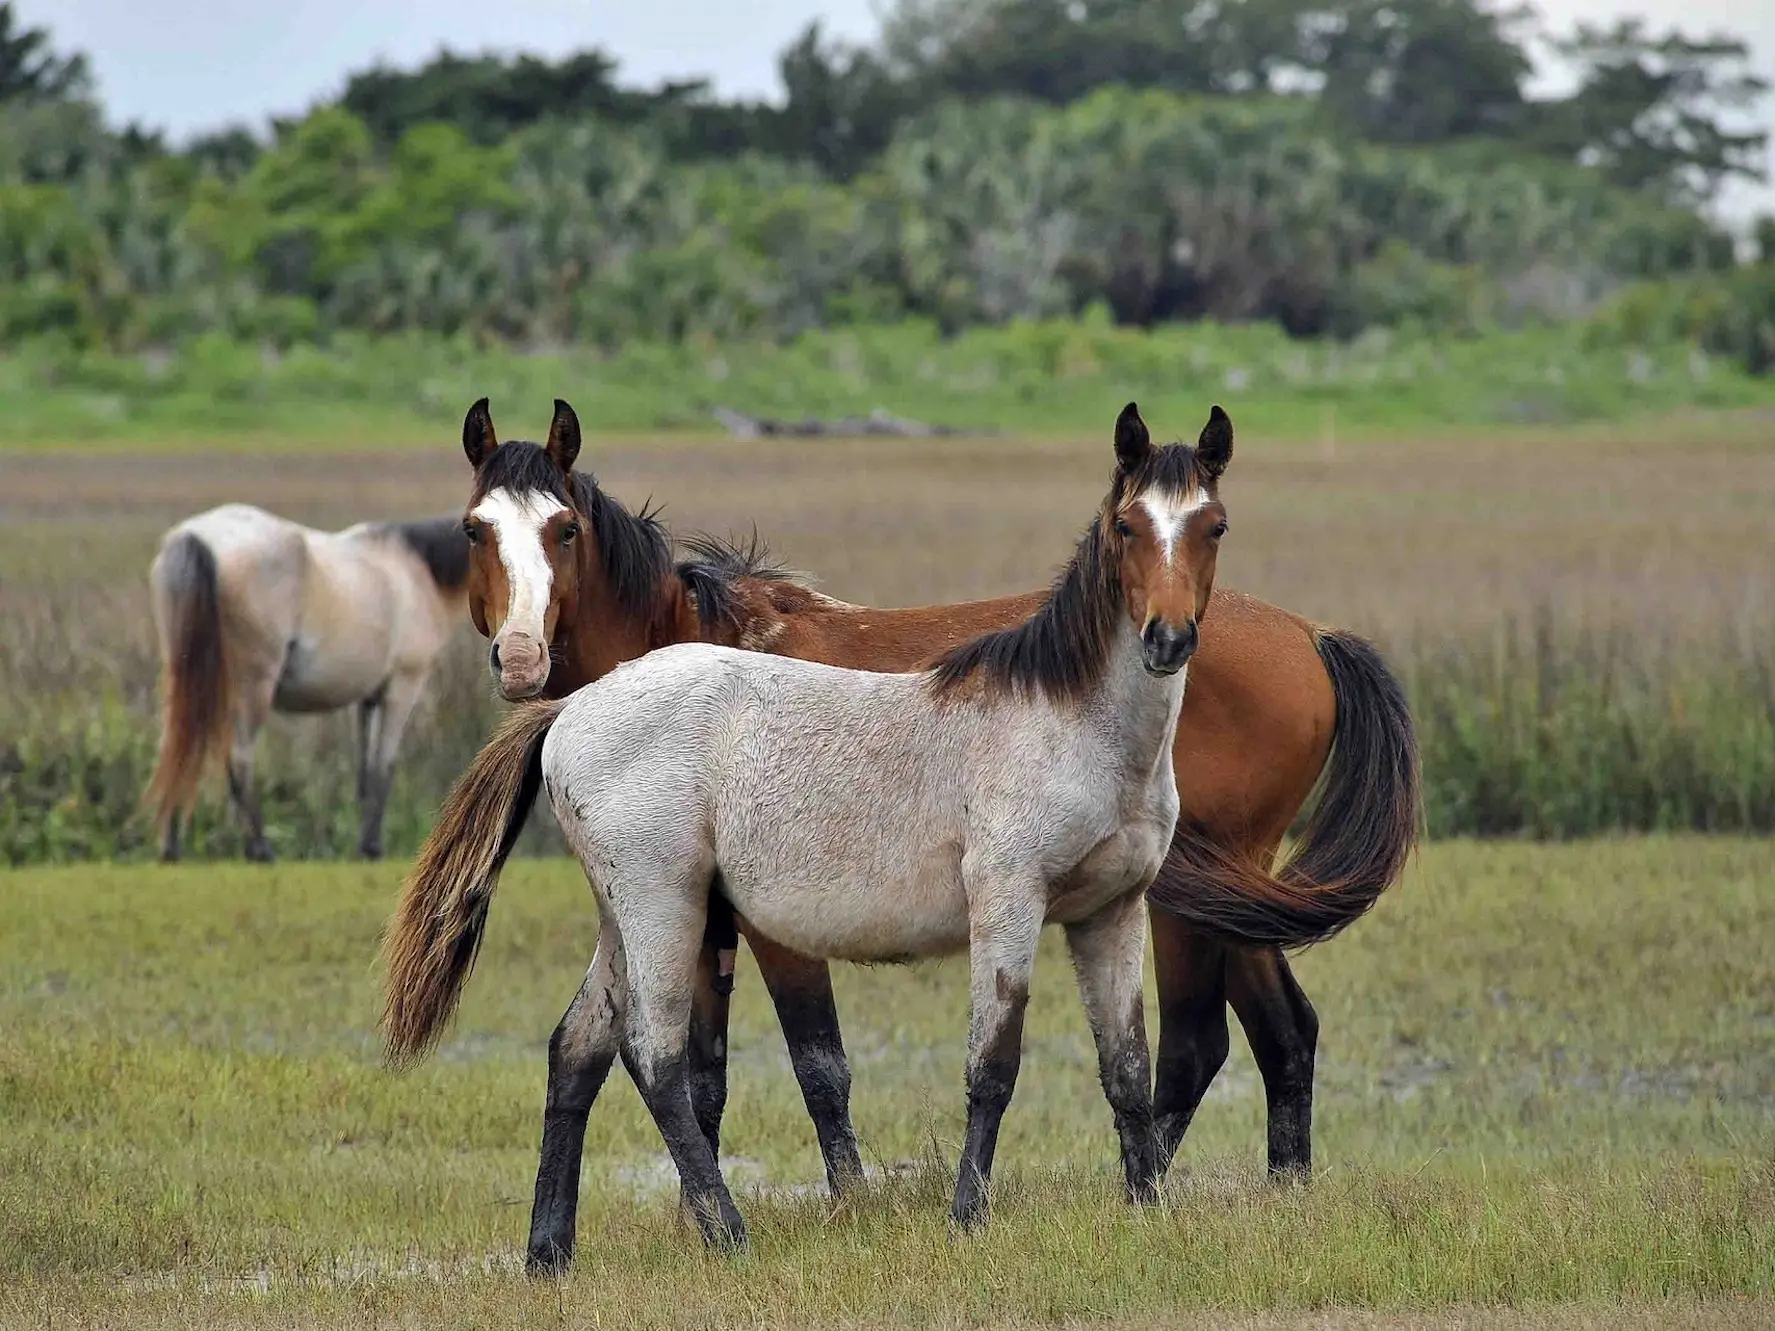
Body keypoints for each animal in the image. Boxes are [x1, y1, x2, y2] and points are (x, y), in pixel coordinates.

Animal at [399, 393, 1412, 1270]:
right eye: (1127, 526)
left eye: (1214, 526)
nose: (1166, 638)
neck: (1068, 717)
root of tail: (571, 710)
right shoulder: (994, 904)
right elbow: (966, 1063)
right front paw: (955, 1215)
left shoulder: (1111, 910)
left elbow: (1123, 1061)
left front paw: (1143, 1209)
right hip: (658, 907)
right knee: (648, 1054)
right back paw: (722, 1233)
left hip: (640, 913)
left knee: (580, 1049)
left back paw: (551, 1251)